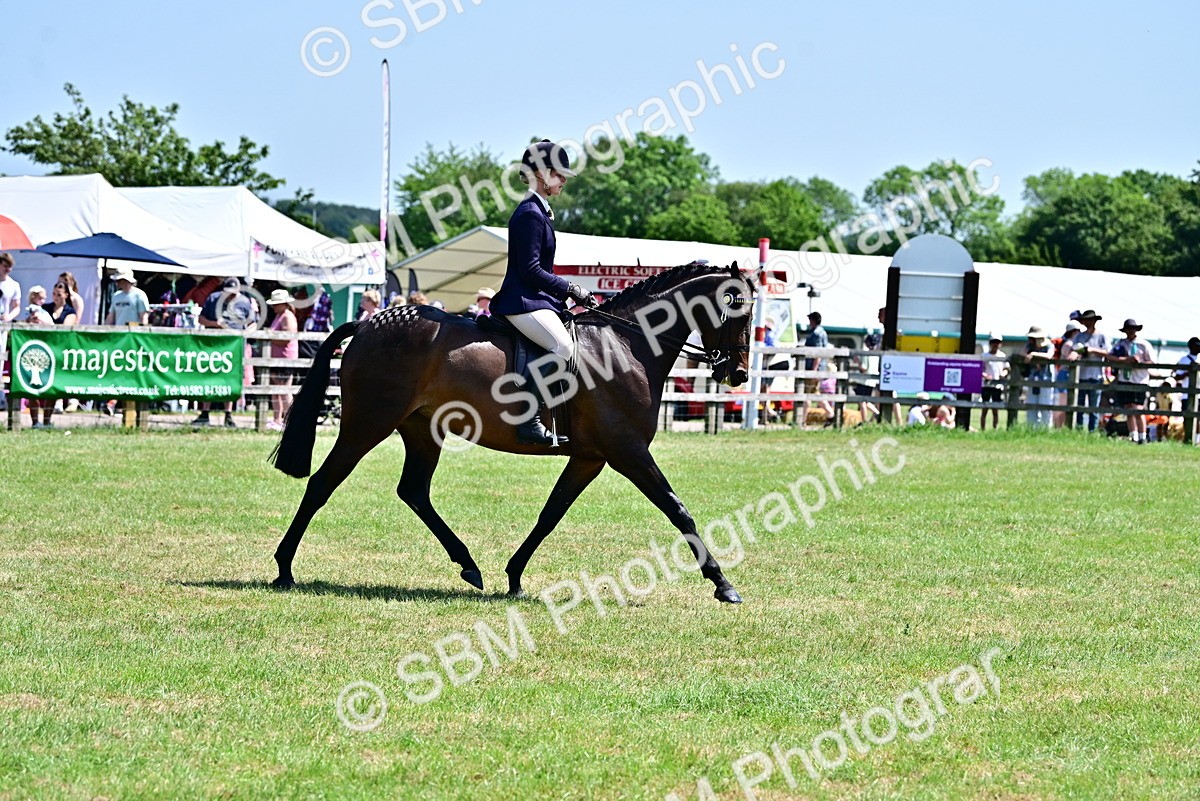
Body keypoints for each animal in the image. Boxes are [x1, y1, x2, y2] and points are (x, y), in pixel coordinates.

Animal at [269, 262, 754, 603]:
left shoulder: (589, 458)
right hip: (368, 424)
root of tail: (369, 323)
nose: (738, 373)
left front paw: (515, 576)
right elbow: (678, 511)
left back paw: (469, 565)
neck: (623, 346)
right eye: (739, 309)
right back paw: (284, 569)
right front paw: (723, 585)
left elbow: (550, 514)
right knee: (323, 483)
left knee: (414, 491)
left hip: (421, 430)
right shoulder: (628, 452)